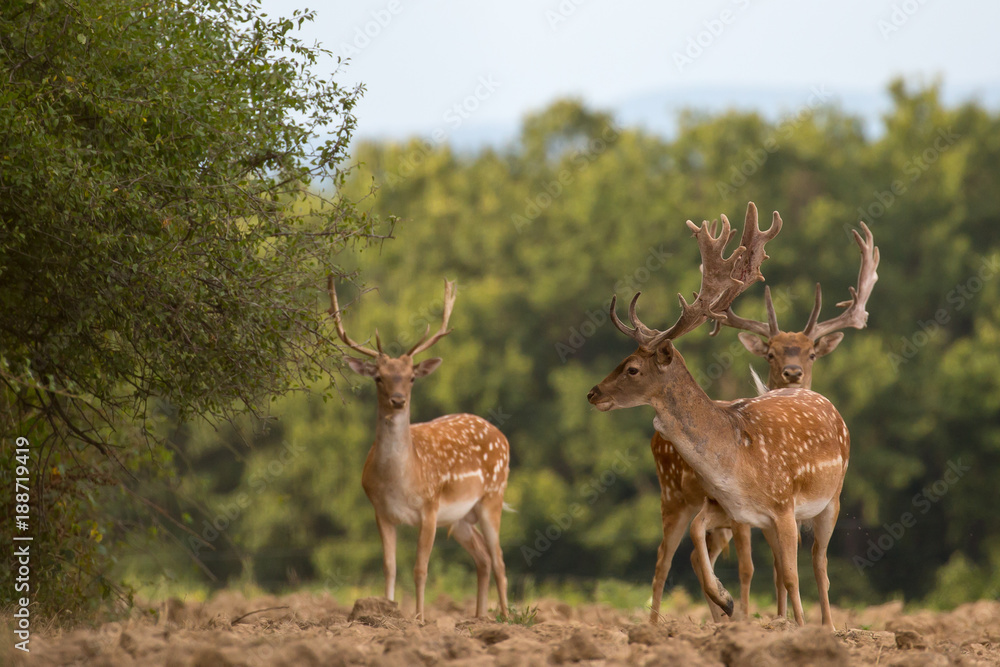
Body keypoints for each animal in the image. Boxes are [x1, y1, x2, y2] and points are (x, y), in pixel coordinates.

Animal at [328, 277, 510, 621]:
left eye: (411, 377)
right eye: (379, 377)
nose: (398, 399)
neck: (400, 479)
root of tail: (501, 435)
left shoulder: (430, 506)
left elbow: (420, 569)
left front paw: (419, 619)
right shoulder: (381, 511)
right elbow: (390, 566)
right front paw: (386, 612)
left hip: (492, 497)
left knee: (500, 560)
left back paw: (507, 619)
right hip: (461, 518)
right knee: (483, 558)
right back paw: (478, 618)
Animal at [587, 211, 851, 630]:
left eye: (632, 368)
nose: (593, 393)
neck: (734, 463)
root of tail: (823, 399)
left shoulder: (783, 507)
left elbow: (791, 575)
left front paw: (795, 628)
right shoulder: (731, 510)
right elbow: (702, 542)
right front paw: (725, 603)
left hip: (832, 498)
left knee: (818, 563)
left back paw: (827, 626)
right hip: (683, 503)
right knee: (673, 559)